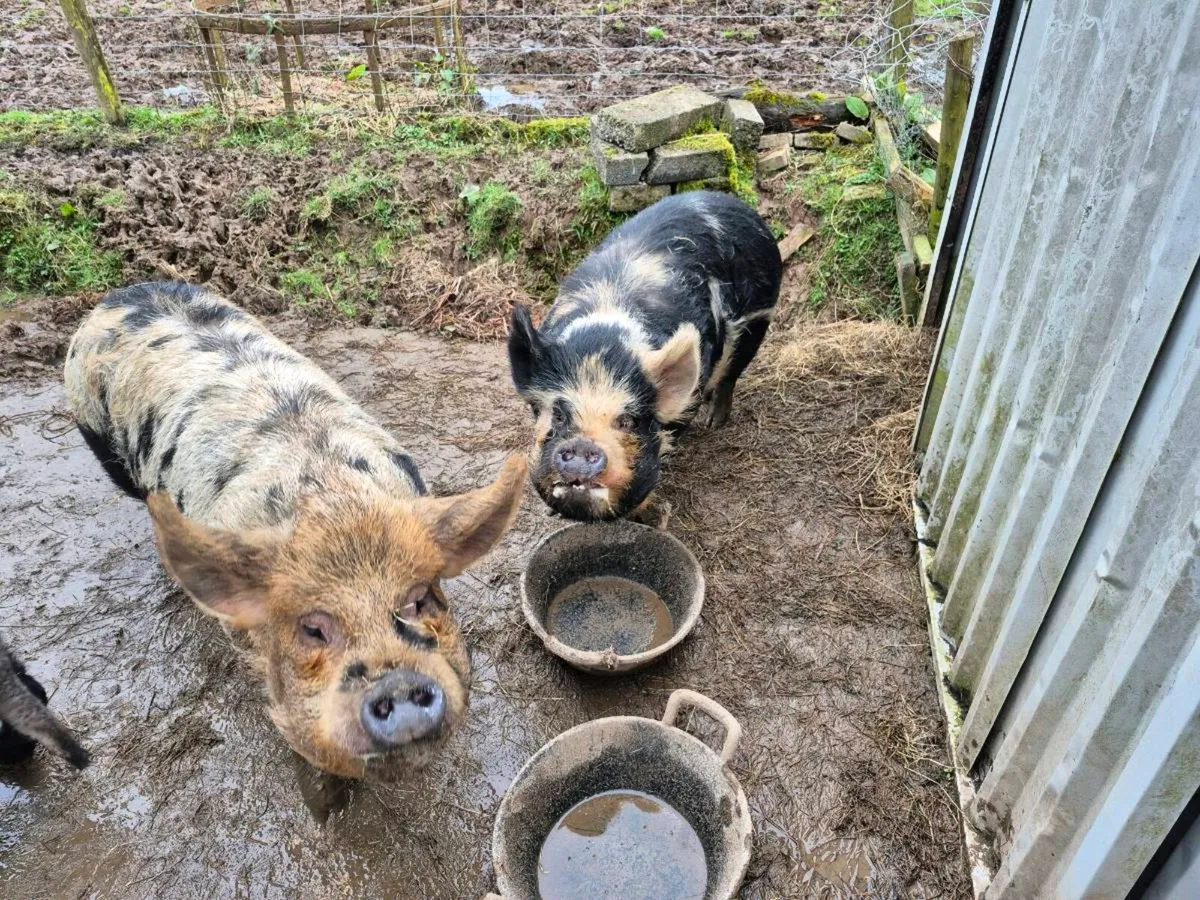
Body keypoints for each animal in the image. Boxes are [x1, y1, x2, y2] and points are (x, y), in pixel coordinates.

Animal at [507, 191, 782, 523]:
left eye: (627, 421)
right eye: (558, 415)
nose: (582, 444)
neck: (605, 338)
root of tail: (726, 199)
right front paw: (552, 514)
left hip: (759, 316)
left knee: (730, 375)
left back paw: (713, 422)